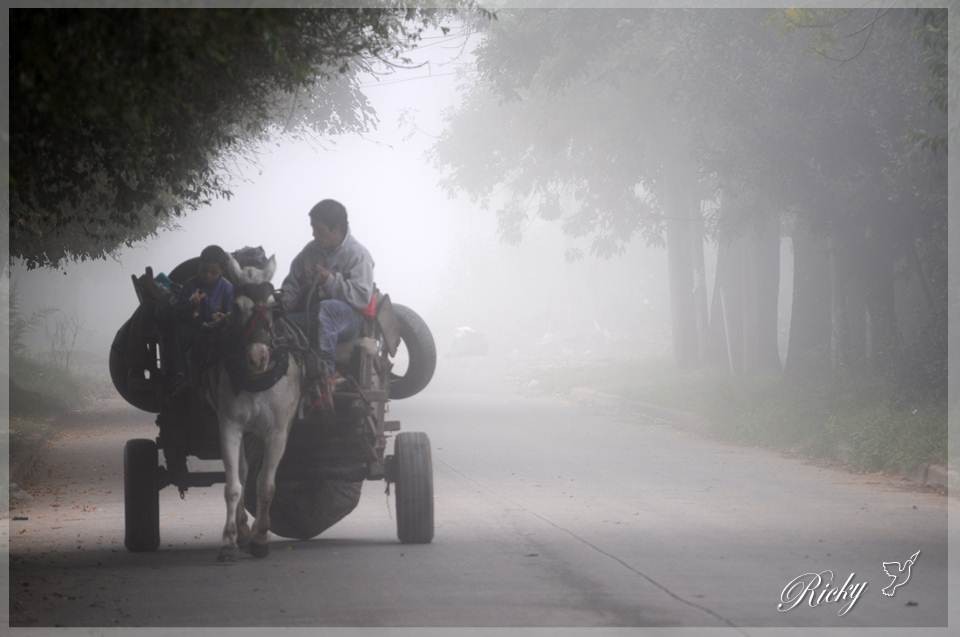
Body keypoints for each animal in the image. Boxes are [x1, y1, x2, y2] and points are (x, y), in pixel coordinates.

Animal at [212, 255, 302, 560]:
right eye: (237, 307)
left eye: (274, 307)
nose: (258, 356)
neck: (256, 381)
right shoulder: (229, 426)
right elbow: (233, 485)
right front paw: (229, 540)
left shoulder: (277, 433)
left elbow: (265, 485)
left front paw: (261, 538)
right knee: (242, 471)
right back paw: (241, 529)